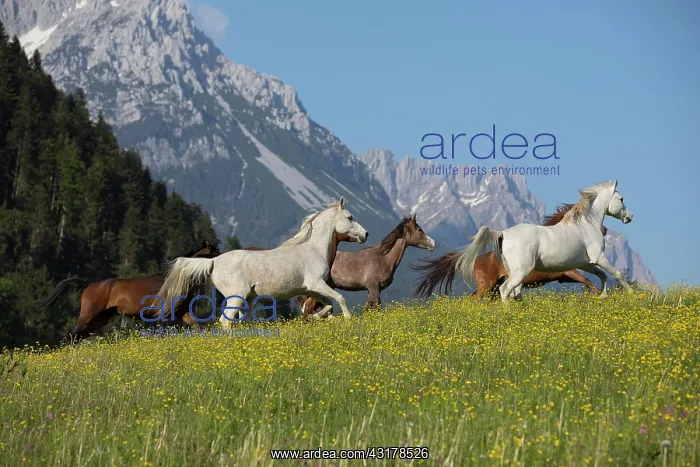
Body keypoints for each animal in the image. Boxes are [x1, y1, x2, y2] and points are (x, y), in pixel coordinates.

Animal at [37, 240, 221, 341]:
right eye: (215, 252)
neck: (178, 279)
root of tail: (89, 285)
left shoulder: (183, 313)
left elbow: (200, 327)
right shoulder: (163, 315)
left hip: (99, 319)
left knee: (78, 336)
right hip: (88, 314)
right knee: (70, 334)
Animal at [156, 197, 369, 328]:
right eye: (350, 217)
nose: (366, 234)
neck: (312, 249)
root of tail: (215, 261)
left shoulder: (312, 289)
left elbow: (328, 305)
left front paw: (320, 317)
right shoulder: (317, 284)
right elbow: (340, 299)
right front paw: (347, 321)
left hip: (247, 299)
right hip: (236, 297)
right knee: (226, 322)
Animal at [295, 214, 436, 320]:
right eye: (419, 230)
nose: (433, 243)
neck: (383, 258)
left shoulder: (372, 290)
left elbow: (367, 309)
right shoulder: (374, 288)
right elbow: (376, 308)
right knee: (308, 306)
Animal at [411, 204, 607, 299]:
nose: (604, 230)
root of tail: (476, 259)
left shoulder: (562, 276)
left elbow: (586, 280)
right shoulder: (568, 272)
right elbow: (587, 280)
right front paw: (598, 294)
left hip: (491, 287)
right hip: (487, 285)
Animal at [455, 180, 633, 303]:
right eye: (621, 198)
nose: (629, 217)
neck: (586, 225)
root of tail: (502, 234)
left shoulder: (585, 263)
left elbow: (601, 276)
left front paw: (602, 296)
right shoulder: (599, 258)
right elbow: (617, 274)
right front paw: (633, 295)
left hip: (512, 274)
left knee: (515, 293)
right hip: (518, 273)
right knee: (505, 291)